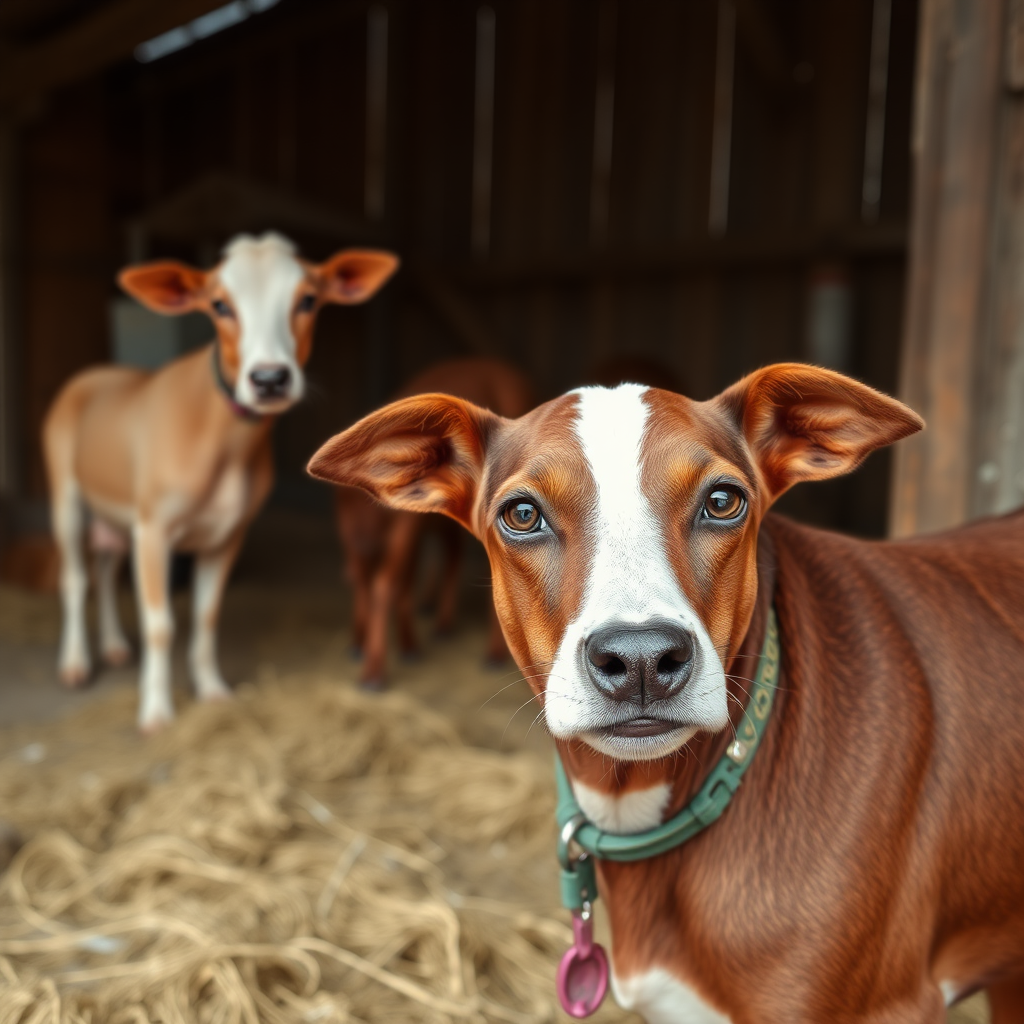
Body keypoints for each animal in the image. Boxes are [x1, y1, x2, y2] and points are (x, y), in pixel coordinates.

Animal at [48, 232, 399, 729]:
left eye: (308, 300)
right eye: (219, 305)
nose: (269, 378)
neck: (224, 446)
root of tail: (97, 371)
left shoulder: (229, 532)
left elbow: (207, 615)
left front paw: (212, 690)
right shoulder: (153, 527)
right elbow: (160, 624)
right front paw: (157, 712)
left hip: (116, 512)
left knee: (106, 567)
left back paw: (114, 646)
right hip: (66, 494)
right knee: (76, 579)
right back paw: (76, 662)